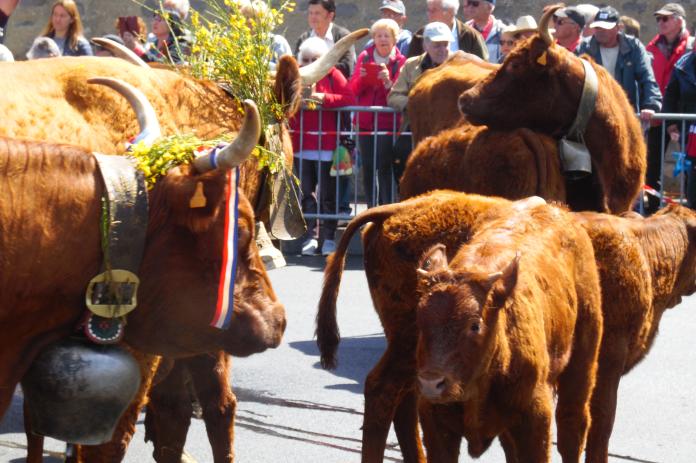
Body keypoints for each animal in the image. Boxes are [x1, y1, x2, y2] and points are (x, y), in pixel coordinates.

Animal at [414, 200, 604, 463]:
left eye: (475, 325)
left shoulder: (535, 415)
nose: (432, 382)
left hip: (582, 365)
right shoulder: (434, 418)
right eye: (420, 319)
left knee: (572, 427)